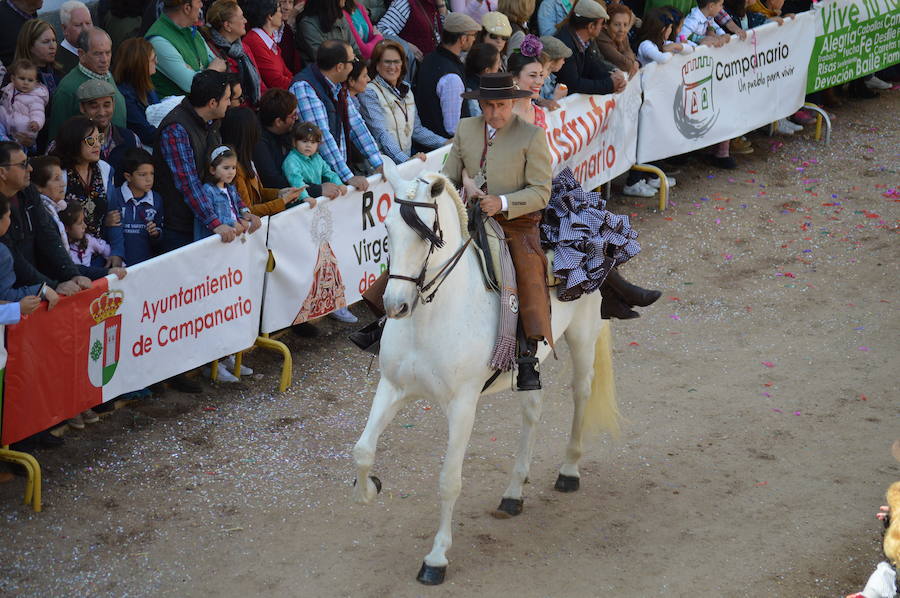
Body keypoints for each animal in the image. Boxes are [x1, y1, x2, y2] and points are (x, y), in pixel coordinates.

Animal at [352, 158, 620, 584]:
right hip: (530, 367)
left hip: (583, 332)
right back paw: (513, 493)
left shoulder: (462, 406)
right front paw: (369, 489)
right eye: (388, 230)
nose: (395, 306)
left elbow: (449, 480)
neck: (431, 316)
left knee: (582, 392)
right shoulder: (392, 386)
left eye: (428, 235)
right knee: (533, 411)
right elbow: (362, 450)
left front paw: (436, 558)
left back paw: (568, 471)